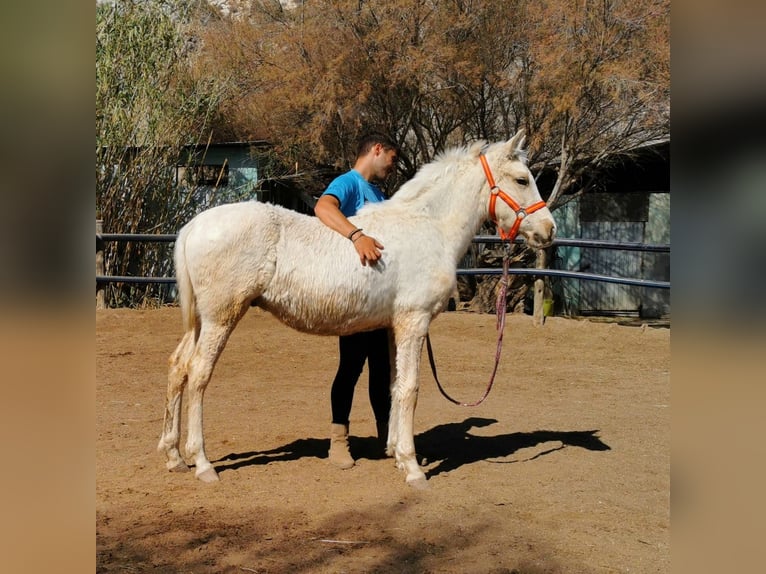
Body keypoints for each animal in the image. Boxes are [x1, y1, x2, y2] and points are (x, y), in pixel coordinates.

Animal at [160, 132, 560, 490]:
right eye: (522, 179)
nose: (549, 230)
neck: (427, 228)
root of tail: (195, 225)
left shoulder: (394, 327)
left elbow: (394, 386)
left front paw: (396, 452)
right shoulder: (414, 322)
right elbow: (411, 388)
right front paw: (413, 469)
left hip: (200, 321)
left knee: (178, 368)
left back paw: (174, 455)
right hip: (221, 317)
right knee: (198, 374)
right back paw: (202, 463)